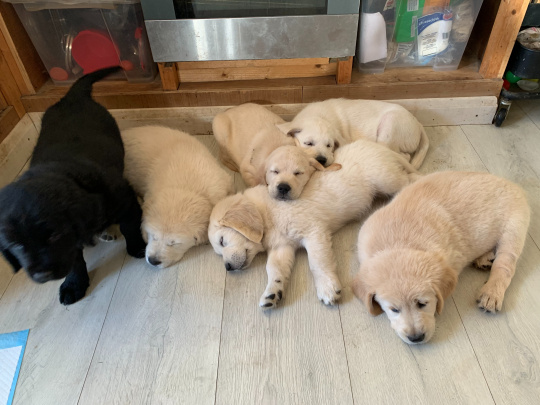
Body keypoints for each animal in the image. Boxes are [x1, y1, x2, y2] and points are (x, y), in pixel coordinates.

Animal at [0, 66, 146, 304]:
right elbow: (75, 259)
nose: (42, 276)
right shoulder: (72, 239)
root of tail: (71, 97)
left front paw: (138, 246)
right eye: (16, 245)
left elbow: (129, 225)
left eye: (54, 235)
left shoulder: (125, 199)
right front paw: (74, 284)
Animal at [209, 140, 420, 308]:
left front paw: (327, 288)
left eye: (222, 240)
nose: (228, 267)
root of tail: (379, 146)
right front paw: (272, 293)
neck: (267, 213)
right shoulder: (282, 246)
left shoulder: (314, 233)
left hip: (386, 179)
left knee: (409, 179)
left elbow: (317, 262)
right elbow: (274, 268)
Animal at [276, 98, 428, 167]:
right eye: (308, 143)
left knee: (405, 156)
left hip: (389, 125)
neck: (321, 117)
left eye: (329, 145)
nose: (322, 160)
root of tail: (419, 125)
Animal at [352, 170, 528, 344]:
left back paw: (491, 293)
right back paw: (483, 258)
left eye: (423, 303)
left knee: (505, 265)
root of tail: (512, 184)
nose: (416, 338)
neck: (398, 243)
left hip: (514, 228)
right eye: (394, 309)